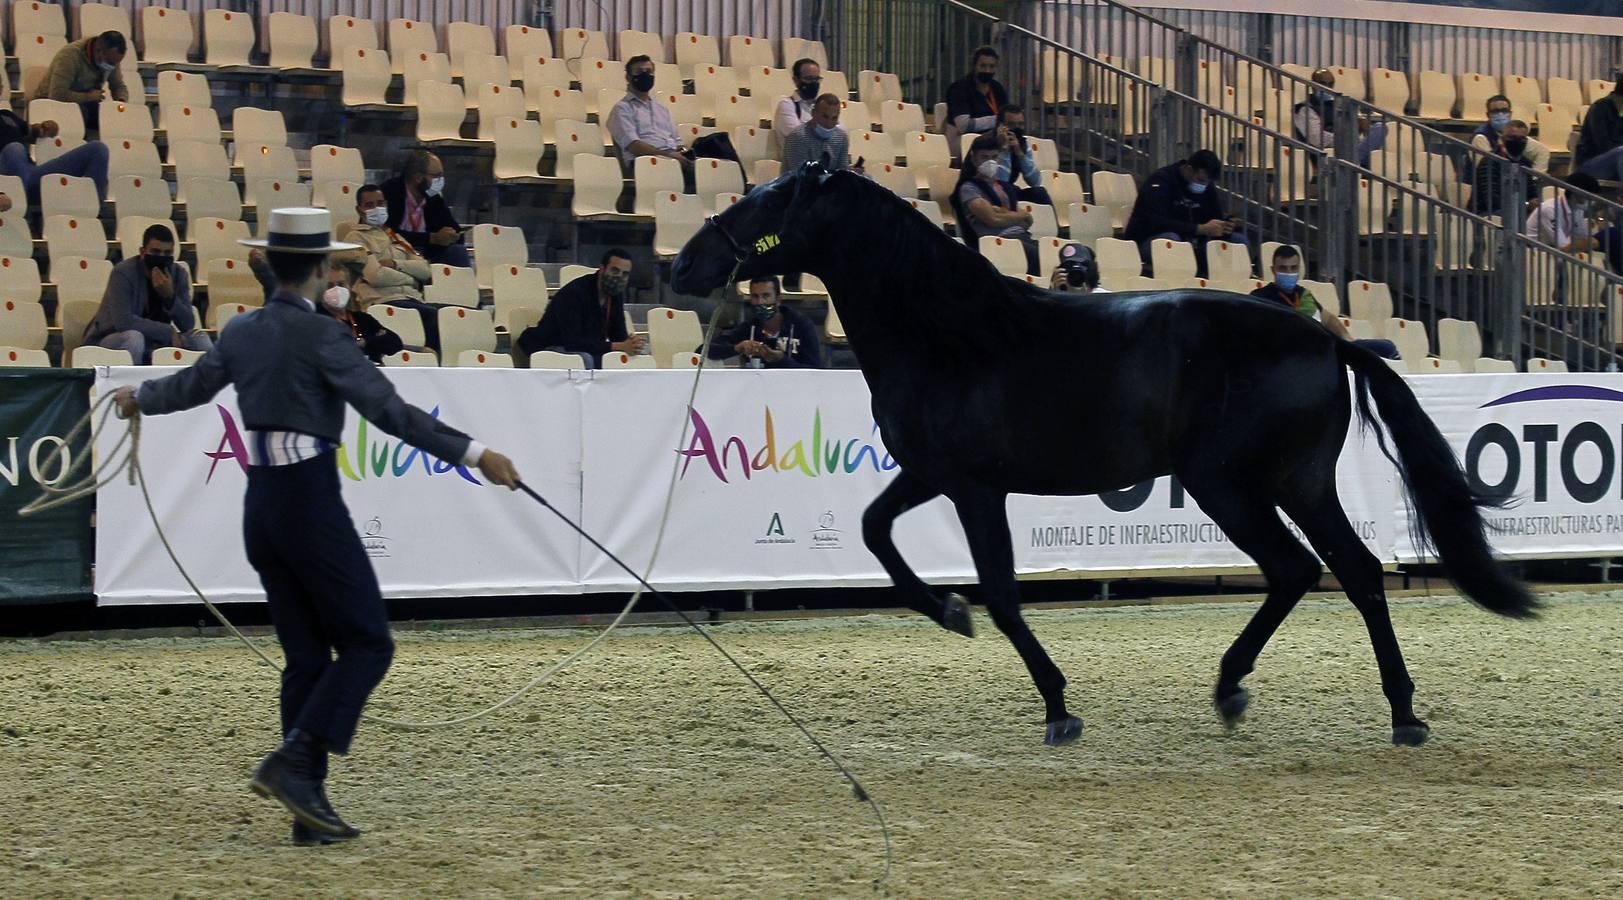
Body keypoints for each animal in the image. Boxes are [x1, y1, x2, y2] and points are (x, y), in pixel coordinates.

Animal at [668, 162, 1532, 745]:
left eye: (763, 200)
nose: (681, 265)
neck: (951, 332)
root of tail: (1325, 338)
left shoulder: (973, 487)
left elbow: (1001, 592)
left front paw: (1056, 707)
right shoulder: (931, 475)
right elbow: (876, 533)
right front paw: (947, 612)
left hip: (1231, 484)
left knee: (1299, 569)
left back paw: (1250, 692)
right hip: (1297, 482)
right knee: (1348, 571)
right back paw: (1392, 712)